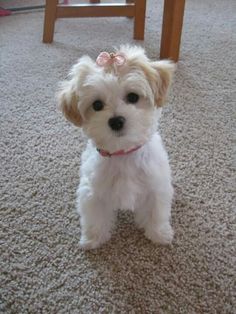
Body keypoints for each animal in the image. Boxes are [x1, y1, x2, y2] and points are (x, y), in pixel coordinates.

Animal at [57, 44, 175, 250]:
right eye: (97, 105)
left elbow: (156, 212)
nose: (116, 121)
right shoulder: (93, 192)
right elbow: (95, 217)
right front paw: (93, 239)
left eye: (133, 97)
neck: (123, 152)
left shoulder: (155, 187)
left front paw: (159, 234)